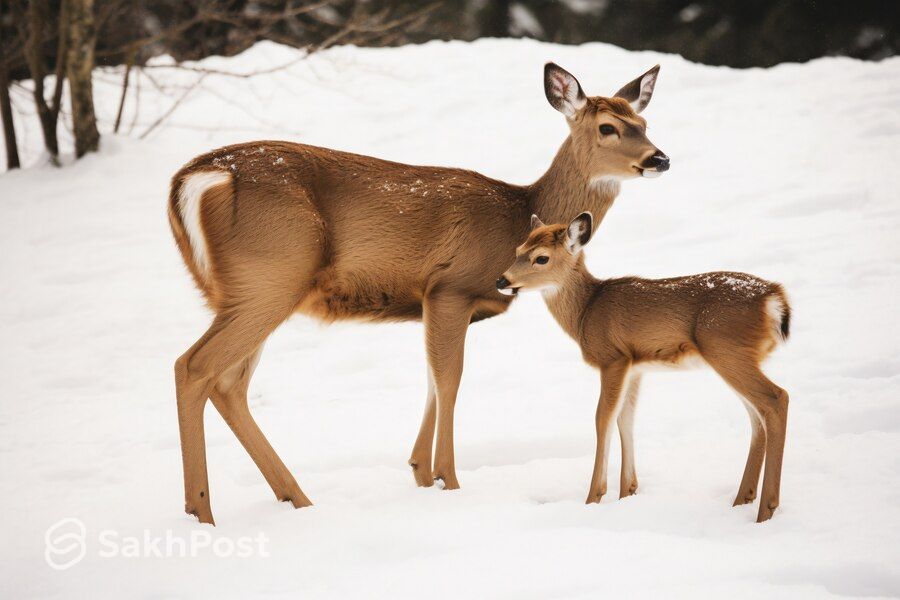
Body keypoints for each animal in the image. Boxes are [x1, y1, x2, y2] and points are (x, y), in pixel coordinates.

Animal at [167, 59, 668, 520]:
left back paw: (295, 498)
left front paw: (421, 473)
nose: (659, 158)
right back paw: (202, 512)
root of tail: (195, 178)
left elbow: (430, 377)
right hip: (269, 275)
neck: (517, 213)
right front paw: (449, 479)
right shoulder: (452, 286)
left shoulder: (430, 300)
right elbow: (449, 378)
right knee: (193, 366)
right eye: (607, 127)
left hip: (243, 291)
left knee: (228, 383)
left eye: (643, 123)